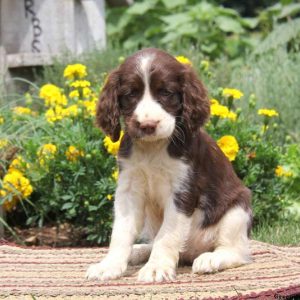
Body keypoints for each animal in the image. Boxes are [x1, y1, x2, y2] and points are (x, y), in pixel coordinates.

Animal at [85, 48, 252, 282]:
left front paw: (156, 268)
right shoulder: (129, 187)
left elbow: (168, 234)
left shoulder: (182, 191)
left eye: (166, 92)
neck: (153, 148)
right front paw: (109, 266)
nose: (147, 125)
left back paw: (210, 259)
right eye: (130, 94)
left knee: (236, 251)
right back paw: (139, 251)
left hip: (237, 210)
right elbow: (121, 231)